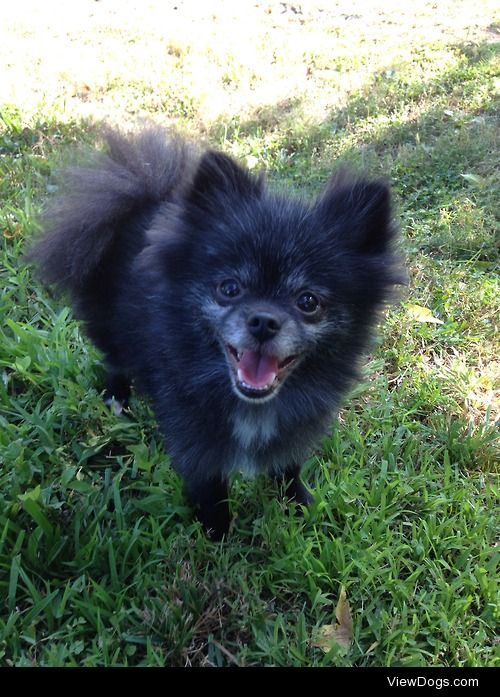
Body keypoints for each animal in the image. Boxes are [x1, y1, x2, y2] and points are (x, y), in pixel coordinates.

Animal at [28, 126, 402, 540]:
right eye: (229, 288)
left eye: (308, 301)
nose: (263, 321)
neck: (249, 402)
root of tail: (141, 201)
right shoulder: (192, 430)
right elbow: (209, 484)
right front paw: (217, 533)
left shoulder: (292, 422)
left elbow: (287, 466)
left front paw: (299, 505)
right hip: (111, 324)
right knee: (115, 358)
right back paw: (116, 397)